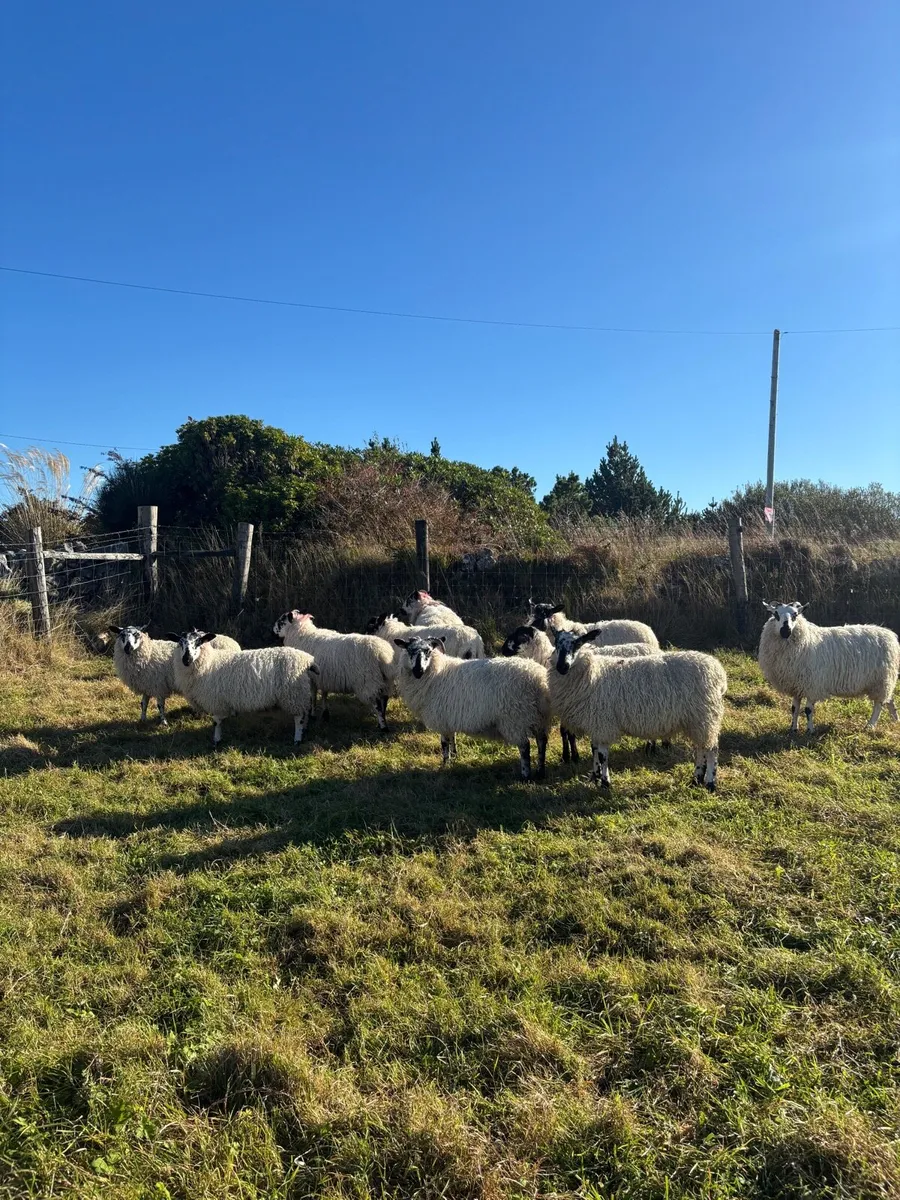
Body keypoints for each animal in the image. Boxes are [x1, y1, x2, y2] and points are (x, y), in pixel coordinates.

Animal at [171, 630, 318, 746]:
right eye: (180, 643)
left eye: (199, 642)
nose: (186, 659)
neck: (210, 663)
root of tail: (307, 660)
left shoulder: (216, 701)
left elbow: (216, 722)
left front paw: (216, 740)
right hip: (303, 691)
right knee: (306, 711)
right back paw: (305, 729)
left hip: (294, 695)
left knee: (299, 717)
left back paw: (297, 739)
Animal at [393, 635, 552, 780]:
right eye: (410, 650)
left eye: (428, 651)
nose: (418, 670)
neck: (436, 672)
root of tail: (538, 679)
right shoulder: (449, 717)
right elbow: (452, 738)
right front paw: (454, 757)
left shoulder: (441, 718)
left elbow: (444, 744)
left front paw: (445, 764)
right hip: (539, 717)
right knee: (542, 741)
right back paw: (541, 772)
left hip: (516, 718)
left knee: (525, 746)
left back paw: (526, 775)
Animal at [500, 625, 664, 761]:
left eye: (520, 636)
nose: (503, 650)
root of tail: (655, 648)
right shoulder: (565, 705)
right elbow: (565, 731)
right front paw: (568, 755)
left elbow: (567, 731)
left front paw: (572, 756)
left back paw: (652, 747)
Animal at [549, 629, 728, 790]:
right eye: (556, 642)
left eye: (577, 643)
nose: (562, 666)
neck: (592, 672)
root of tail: (718, 671)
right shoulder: (596, 723)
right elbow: (595, 751)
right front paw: (595, 776)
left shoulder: (603, 722)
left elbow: (602, 755)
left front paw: (605, 783)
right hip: (697, 720)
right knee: (701, 747)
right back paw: (697, 779)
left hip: (705, 716)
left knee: (711, 749)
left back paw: (710, 782)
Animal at [758, 601, 900, 732]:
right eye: (775, 614)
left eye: (795, 615)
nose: (785, 631)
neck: (806, 639)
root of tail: (890, 635)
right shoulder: (796, 685)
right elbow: (794, 709)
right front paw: (793, 729)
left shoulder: (812, 685)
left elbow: (808, 710)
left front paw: (810, 730)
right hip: (885, 681)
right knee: (889, 700)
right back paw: (895, 720)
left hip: (881, 681)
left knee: (879, 704)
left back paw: (870, 726)